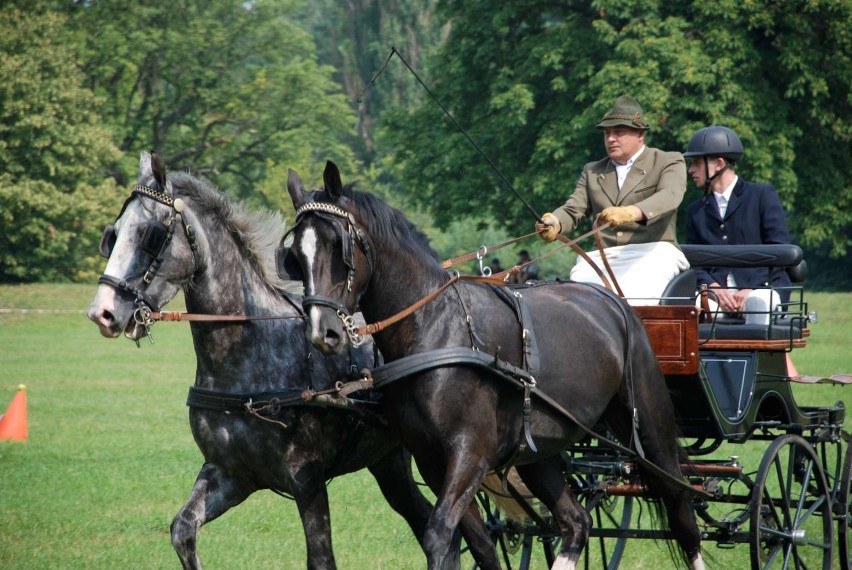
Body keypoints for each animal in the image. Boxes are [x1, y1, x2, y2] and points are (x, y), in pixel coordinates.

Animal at [284, 160, 704, 568]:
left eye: (338, 246)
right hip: (538, 452)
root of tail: (613, 300)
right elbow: (473, 542)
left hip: (649, 428)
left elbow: (439, 535)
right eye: (296, 257)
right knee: (576, 522)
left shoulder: (470, 454)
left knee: (683, 513)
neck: (435, 328)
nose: (324, 332)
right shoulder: (431, 460)